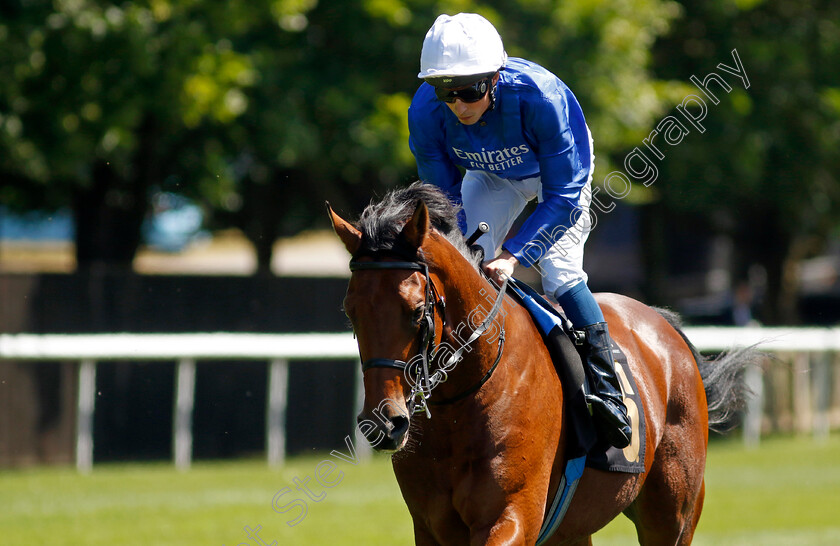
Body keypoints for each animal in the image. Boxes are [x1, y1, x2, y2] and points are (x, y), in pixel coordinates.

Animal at [326, 184, 748, 544]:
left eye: (416, 312)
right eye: (350, 312)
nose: (384, 422)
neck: (461, 405)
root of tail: (663, 324)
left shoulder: (513, 517)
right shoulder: (432, 527)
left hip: (673, 513)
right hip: (575, 529)